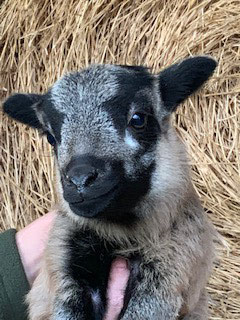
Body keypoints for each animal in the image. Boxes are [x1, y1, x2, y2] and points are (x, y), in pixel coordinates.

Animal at [2, 56, 218, 318]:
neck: (122, 232)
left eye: (138, 119)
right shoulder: (63, 257)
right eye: (51, 137)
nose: (80, 180)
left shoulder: (173, 261)